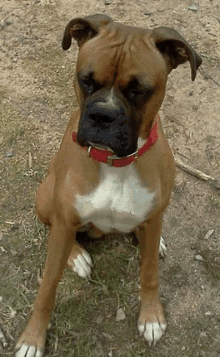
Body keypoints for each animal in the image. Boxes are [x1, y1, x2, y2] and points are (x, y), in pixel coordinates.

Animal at [15, 14, 201, 356]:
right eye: (86, 80)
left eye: (139, 90)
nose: (103, 115)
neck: (116, 163)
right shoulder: (64, 221)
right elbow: (47, 288)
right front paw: (32, 338)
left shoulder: (155, 215)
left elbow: (150, 273)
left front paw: (151, 316)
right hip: (47, 196)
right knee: (55, 226)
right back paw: (77, 255)